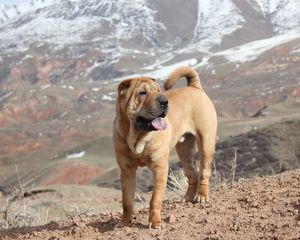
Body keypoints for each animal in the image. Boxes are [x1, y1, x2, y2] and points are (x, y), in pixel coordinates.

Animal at [113, 65, 217, 229]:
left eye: (158, 91)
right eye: (142, 93)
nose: (164, 101)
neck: (137, 136)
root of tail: (195, 87)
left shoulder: (160, 168)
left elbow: (155, 198)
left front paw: (155, 222)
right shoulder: (127, 171)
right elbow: (127, 201)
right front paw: (124, 222)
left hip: (206, 143)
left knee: (204, 171)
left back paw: (201, 196)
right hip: (184, 150)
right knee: (192, 173)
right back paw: (187, 198)